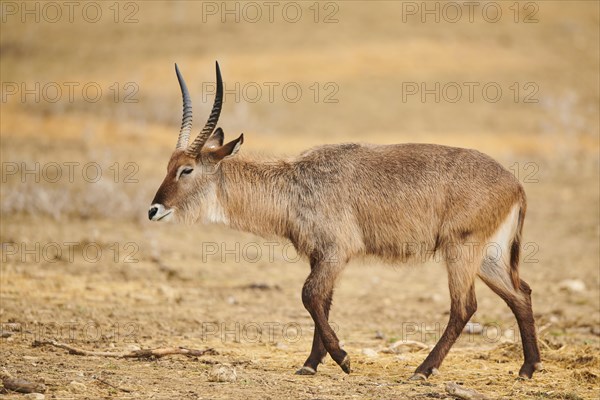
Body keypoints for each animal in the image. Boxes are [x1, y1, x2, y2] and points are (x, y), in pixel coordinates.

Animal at [148, 61, 540, 380]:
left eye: (186, 169)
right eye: (168, 165)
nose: (153, 210)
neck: (295, 183)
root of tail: (515, 183)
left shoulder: (337, 251)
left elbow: (309, 295)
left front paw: (342, 358)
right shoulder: (321, 256)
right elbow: (322, 301)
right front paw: (311, 363)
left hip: (461, 250)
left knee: (464, 307)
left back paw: (423, 370)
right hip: (487, 256)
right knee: (520, 293)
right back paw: (528, 368)